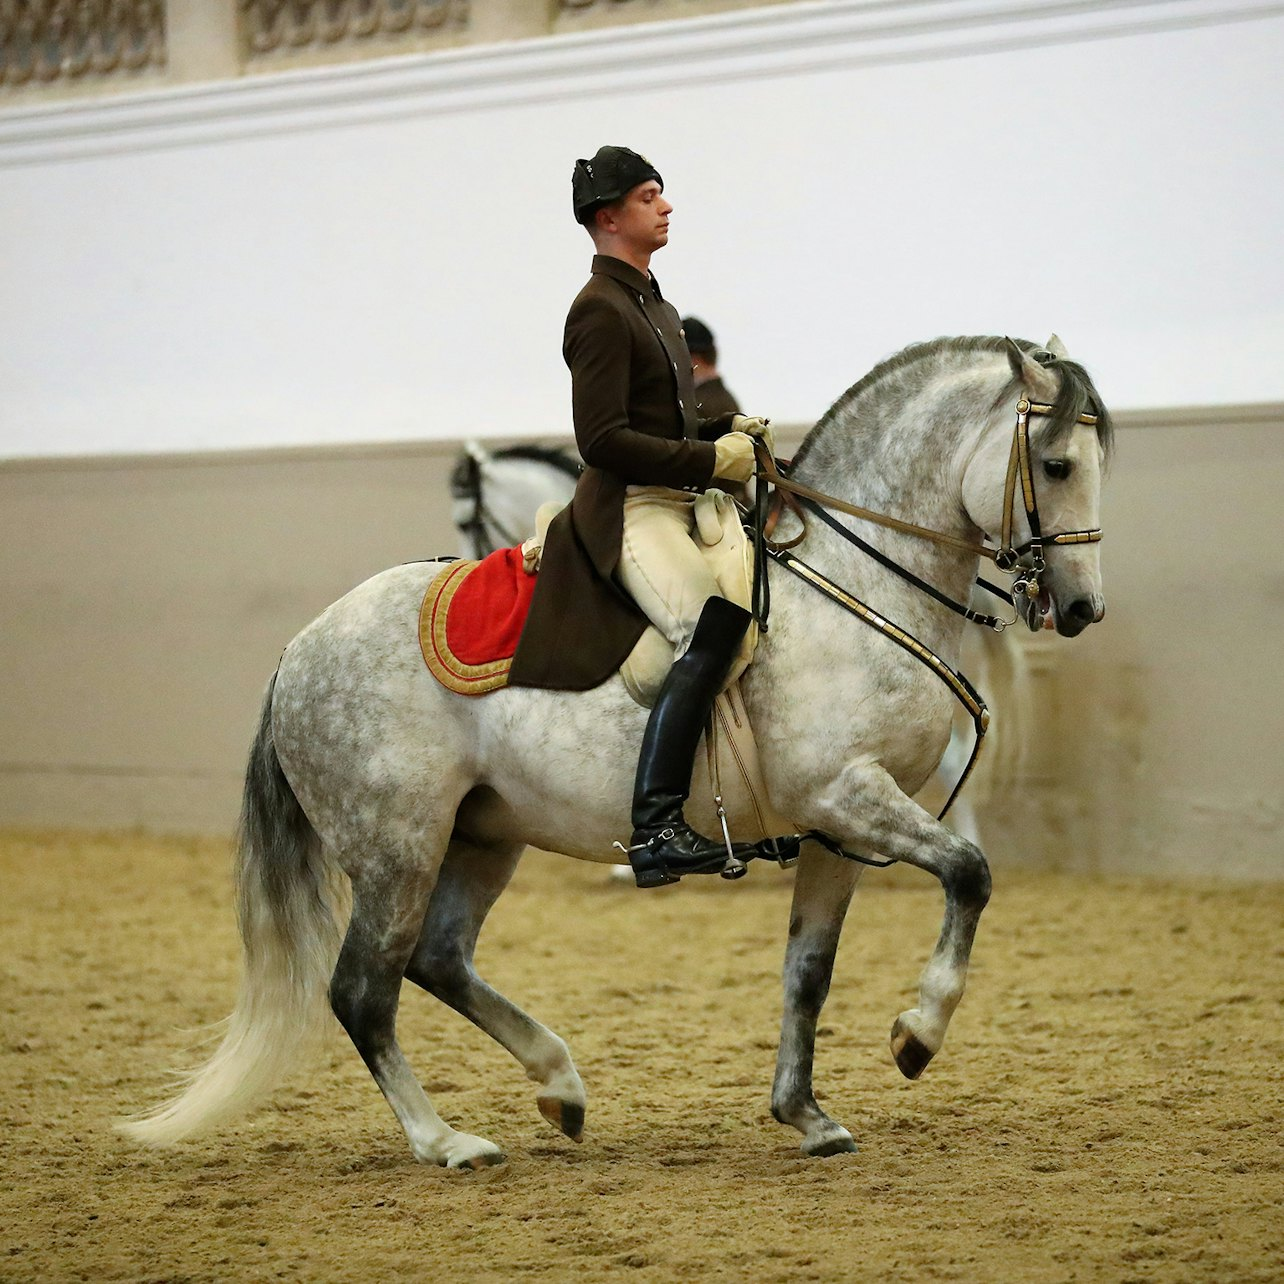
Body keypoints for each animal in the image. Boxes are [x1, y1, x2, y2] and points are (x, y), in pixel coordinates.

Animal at [125, 336, 1119, 1171]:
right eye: (1057, 464)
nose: (1080, 610)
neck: (860, 583)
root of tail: (300, 647)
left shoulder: (839, 829)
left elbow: (810, 970)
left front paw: (807, 1115)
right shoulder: (848, 796)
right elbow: (970, 874)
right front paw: (918, 1033)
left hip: (482, 835)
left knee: (436, 959)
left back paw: (559, 1085)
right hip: (395, 846)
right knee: (364, 990)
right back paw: (447, 1141)